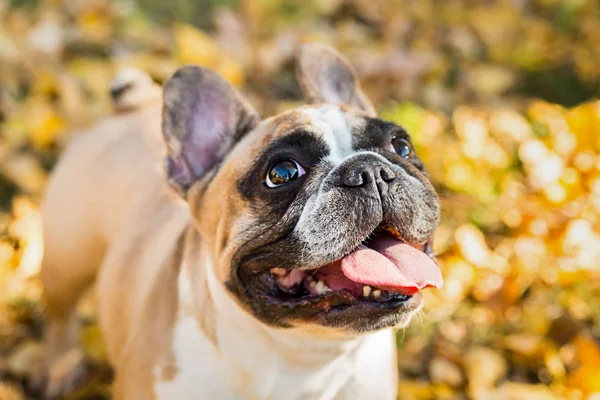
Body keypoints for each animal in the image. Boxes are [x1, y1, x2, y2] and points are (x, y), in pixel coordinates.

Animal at [37, 42, 440, 398]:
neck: (304, 357)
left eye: (402, 146)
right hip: (66, 259)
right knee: (60, 314)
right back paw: (58, 367)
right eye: (282, 173)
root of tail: (136, 102)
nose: (370, 170)